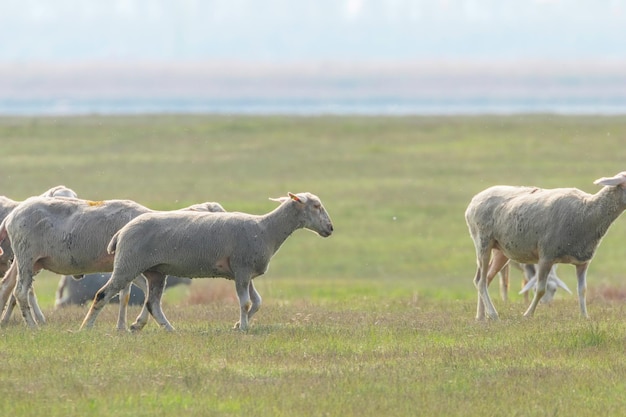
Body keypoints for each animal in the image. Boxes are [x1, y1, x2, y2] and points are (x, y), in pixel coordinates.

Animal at [0, 195, 224, 328]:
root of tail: (11, 217)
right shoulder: (132, 265)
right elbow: (139, 293)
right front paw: (136, 324)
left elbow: (127, 294)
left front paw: (126, 327)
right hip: (27, 256)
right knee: (20, 291)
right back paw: (33, 326)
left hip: (29, 261)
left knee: (7, 286)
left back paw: (4, 323)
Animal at [80, 192, 334, 332]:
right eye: (316, 206)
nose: (330, 229)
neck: (265, 229)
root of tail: (121, 231)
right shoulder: (242, 269)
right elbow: (245, 303)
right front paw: (243, 327)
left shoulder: (246, 272)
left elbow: (258, 302)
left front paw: (239, 325)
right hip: (128, 265)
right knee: (103, 295)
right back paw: (85, 328)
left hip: (155, 272)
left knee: (153, 304)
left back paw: (170, 330)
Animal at [464, 171, 626, 320]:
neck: (587, 212)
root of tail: (474, 200)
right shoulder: (546, 256)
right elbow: (540, 289)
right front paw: (527, 314)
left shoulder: (583, 261)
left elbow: (582, 290)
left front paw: (585, 316)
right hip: (482, 241)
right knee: (481, 281)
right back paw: (493, 314)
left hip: (501, 251)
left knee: (485, 279)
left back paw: (481, 316)